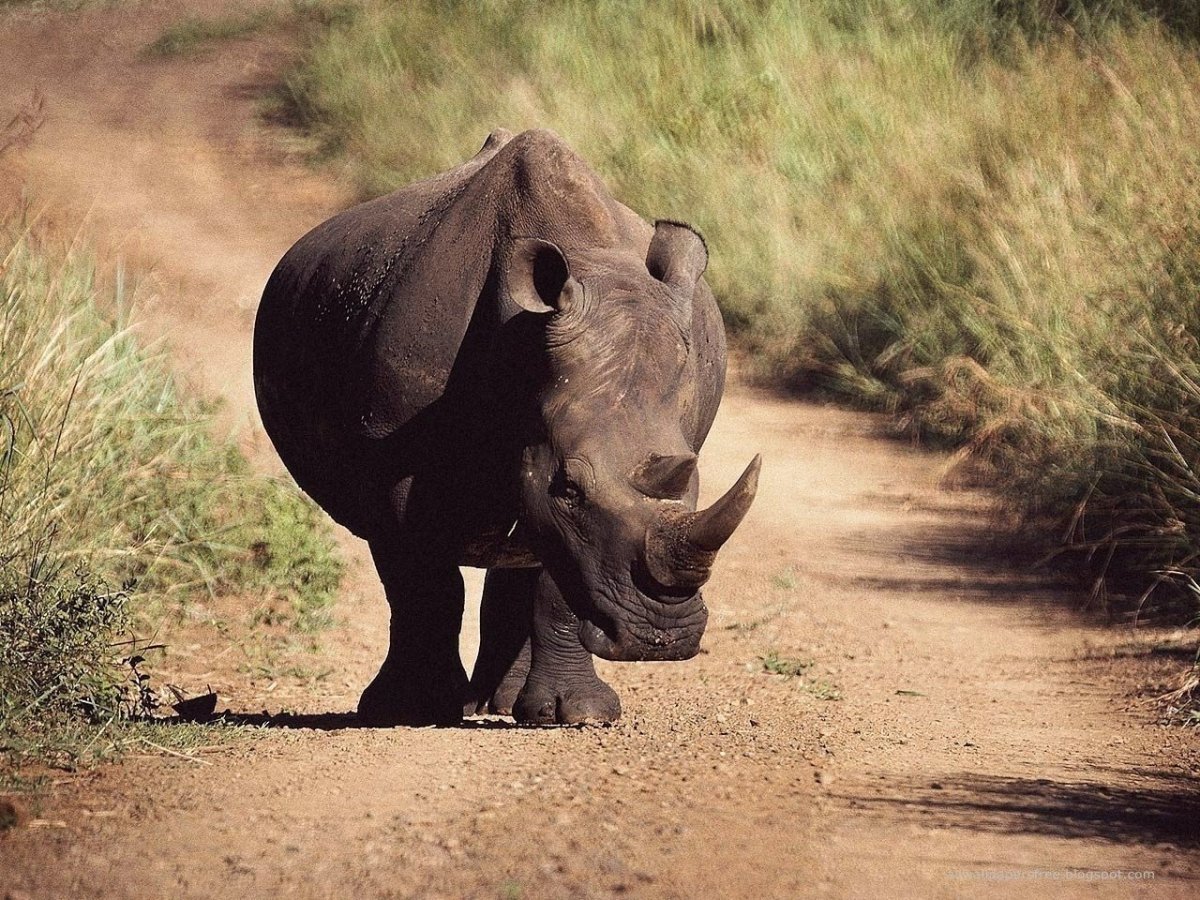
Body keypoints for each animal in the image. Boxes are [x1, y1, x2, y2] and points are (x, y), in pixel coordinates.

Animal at [253, 128, 760, 726]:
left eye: (694, 480)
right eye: (568, 487)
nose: (661, 639)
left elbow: (556, 580)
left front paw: (579, 715)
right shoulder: (390, 466)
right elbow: (424, 581)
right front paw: (411, 708)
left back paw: (504, 704)